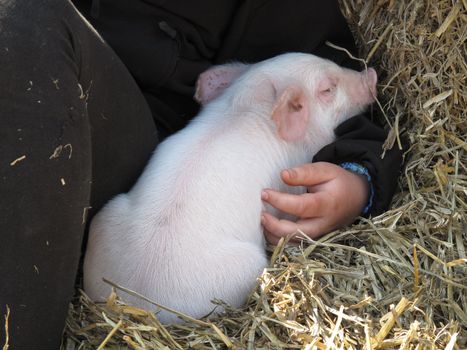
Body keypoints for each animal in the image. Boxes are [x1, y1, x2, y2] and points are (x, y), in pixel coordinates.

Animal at [83, 52, 376, 322]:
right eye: (328, 89)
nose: (370, 74)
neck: (249, 107)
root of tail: (140, 303)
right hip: (248, 266)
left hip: (107, 214)